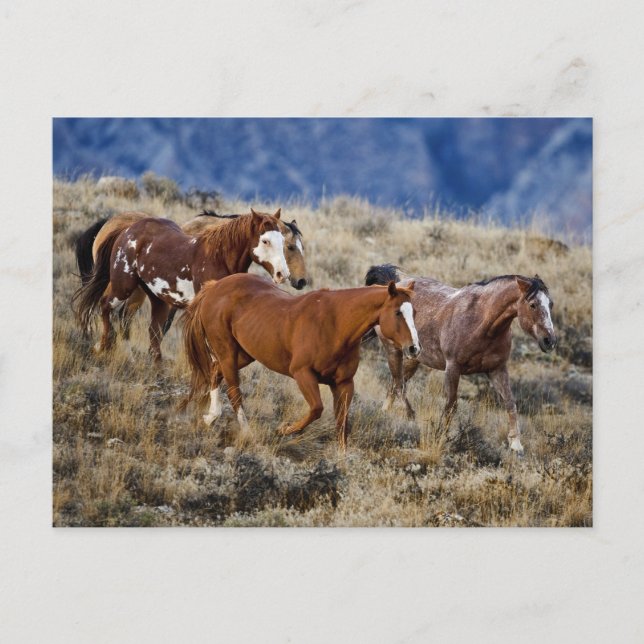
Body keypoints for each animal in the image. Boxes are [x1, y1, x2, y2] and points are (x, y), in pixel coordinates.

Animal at [73, 210, 289, 361]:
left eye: (283, 240)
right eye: (265, 240)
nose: (282, 274)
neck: (217, 258)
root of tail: (126, 230)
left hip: (157, 299)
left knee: (151, 332)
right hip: (123, 285)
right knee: (106, 305)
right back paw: (102, 346)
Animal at [182, 273, 420, 449]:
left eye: (415, 312)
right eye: (398, 312)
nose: (414, 348)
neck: (336, 324)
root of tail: (215, 286)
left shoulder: (344, 384)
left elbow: (341, 424)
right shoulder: (302, 374)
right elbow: (316, 409)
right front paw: (283, 430)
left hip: (243, 354)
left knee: (214, 372)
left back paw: (210, 417)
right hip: (228, 353)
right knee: (234, 392)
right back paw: (247, 432)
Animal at [364, 264, 557, 454]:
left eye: (550, 304)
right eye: (532, 304)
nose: (550, 340)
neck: (482, 323)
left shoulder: (497, 369)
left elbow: (510, 402)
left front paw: (516, 445)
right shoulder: (453, 368)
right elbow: (451, 405)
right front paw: (441, 437)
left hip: (413, 359)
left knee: (395, 384)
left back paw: (386, 413)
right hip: (393, 350)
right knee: (399, 385)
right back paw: (410, 415)